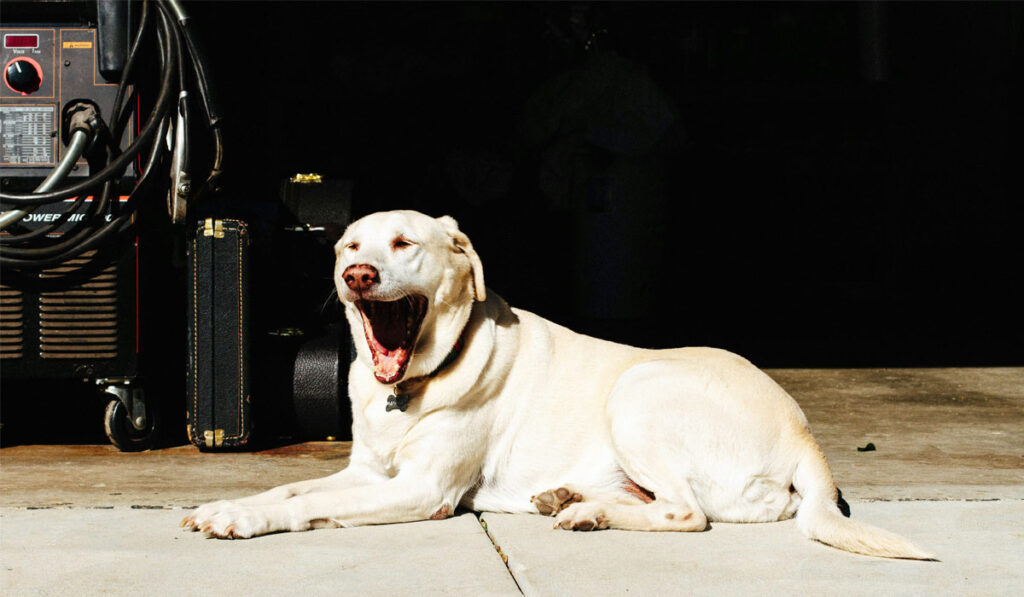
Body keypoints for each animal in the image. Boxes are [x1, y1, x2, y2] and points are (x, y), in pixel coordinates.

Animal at [180, 209, 933, 561]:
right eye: (349, 247)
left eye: (404, 245)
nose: (355, 276)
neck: (421, 377)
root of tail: (804, 432)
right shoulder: (366, 469)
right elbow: (288, 488)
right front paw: (225, 502)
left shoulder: (421, 489)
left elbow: (305, 505)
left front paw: (243, 520)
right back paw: (571, 497)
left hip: (640, 388)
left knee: (689, 512)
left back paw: (583, 512)